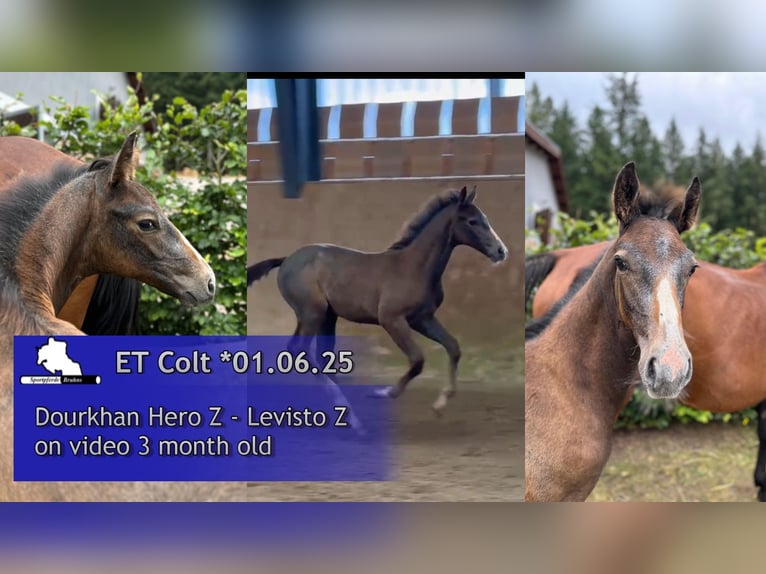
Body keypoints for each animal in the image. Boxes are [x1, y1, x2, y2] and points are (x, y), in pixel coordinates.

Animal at [247, 186, 508, 414]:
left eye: (485, 218)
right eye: (472, 221)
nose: (501, 251)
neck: (415, 268)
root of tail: (287, 259)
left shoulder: (422, 319)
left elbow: (453, 347)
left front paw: (440, 404)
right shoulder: (391, 319)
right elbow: (417, 360)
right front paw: (384, 392)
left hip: (326, 316)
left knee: (311, 355)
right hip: (313, 312)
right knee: (303, 353)